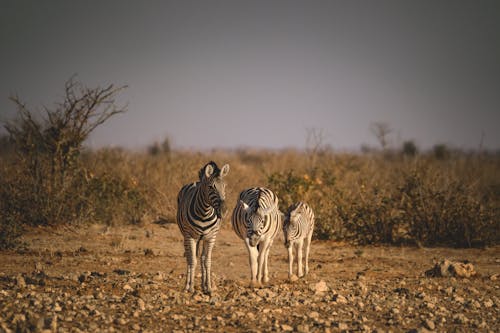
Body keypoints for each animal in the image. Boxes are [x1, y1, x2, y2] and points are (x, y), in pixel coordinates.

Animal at [177, 161, 229, 294]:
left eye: (224, 186)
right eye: (211, 187)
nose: (223, 211)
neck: (204, 213)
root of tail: (197, 181)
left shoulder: (211, 237)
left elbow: (207, 261)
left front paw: (209, 287)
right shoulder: (190, 236)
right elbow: (192, 261)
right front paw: (191, 288)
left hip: (202, 239)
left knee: (201, 258)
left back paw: (203, 285)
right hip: (187, 236)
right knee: (190, 258)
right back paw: (187, 286)